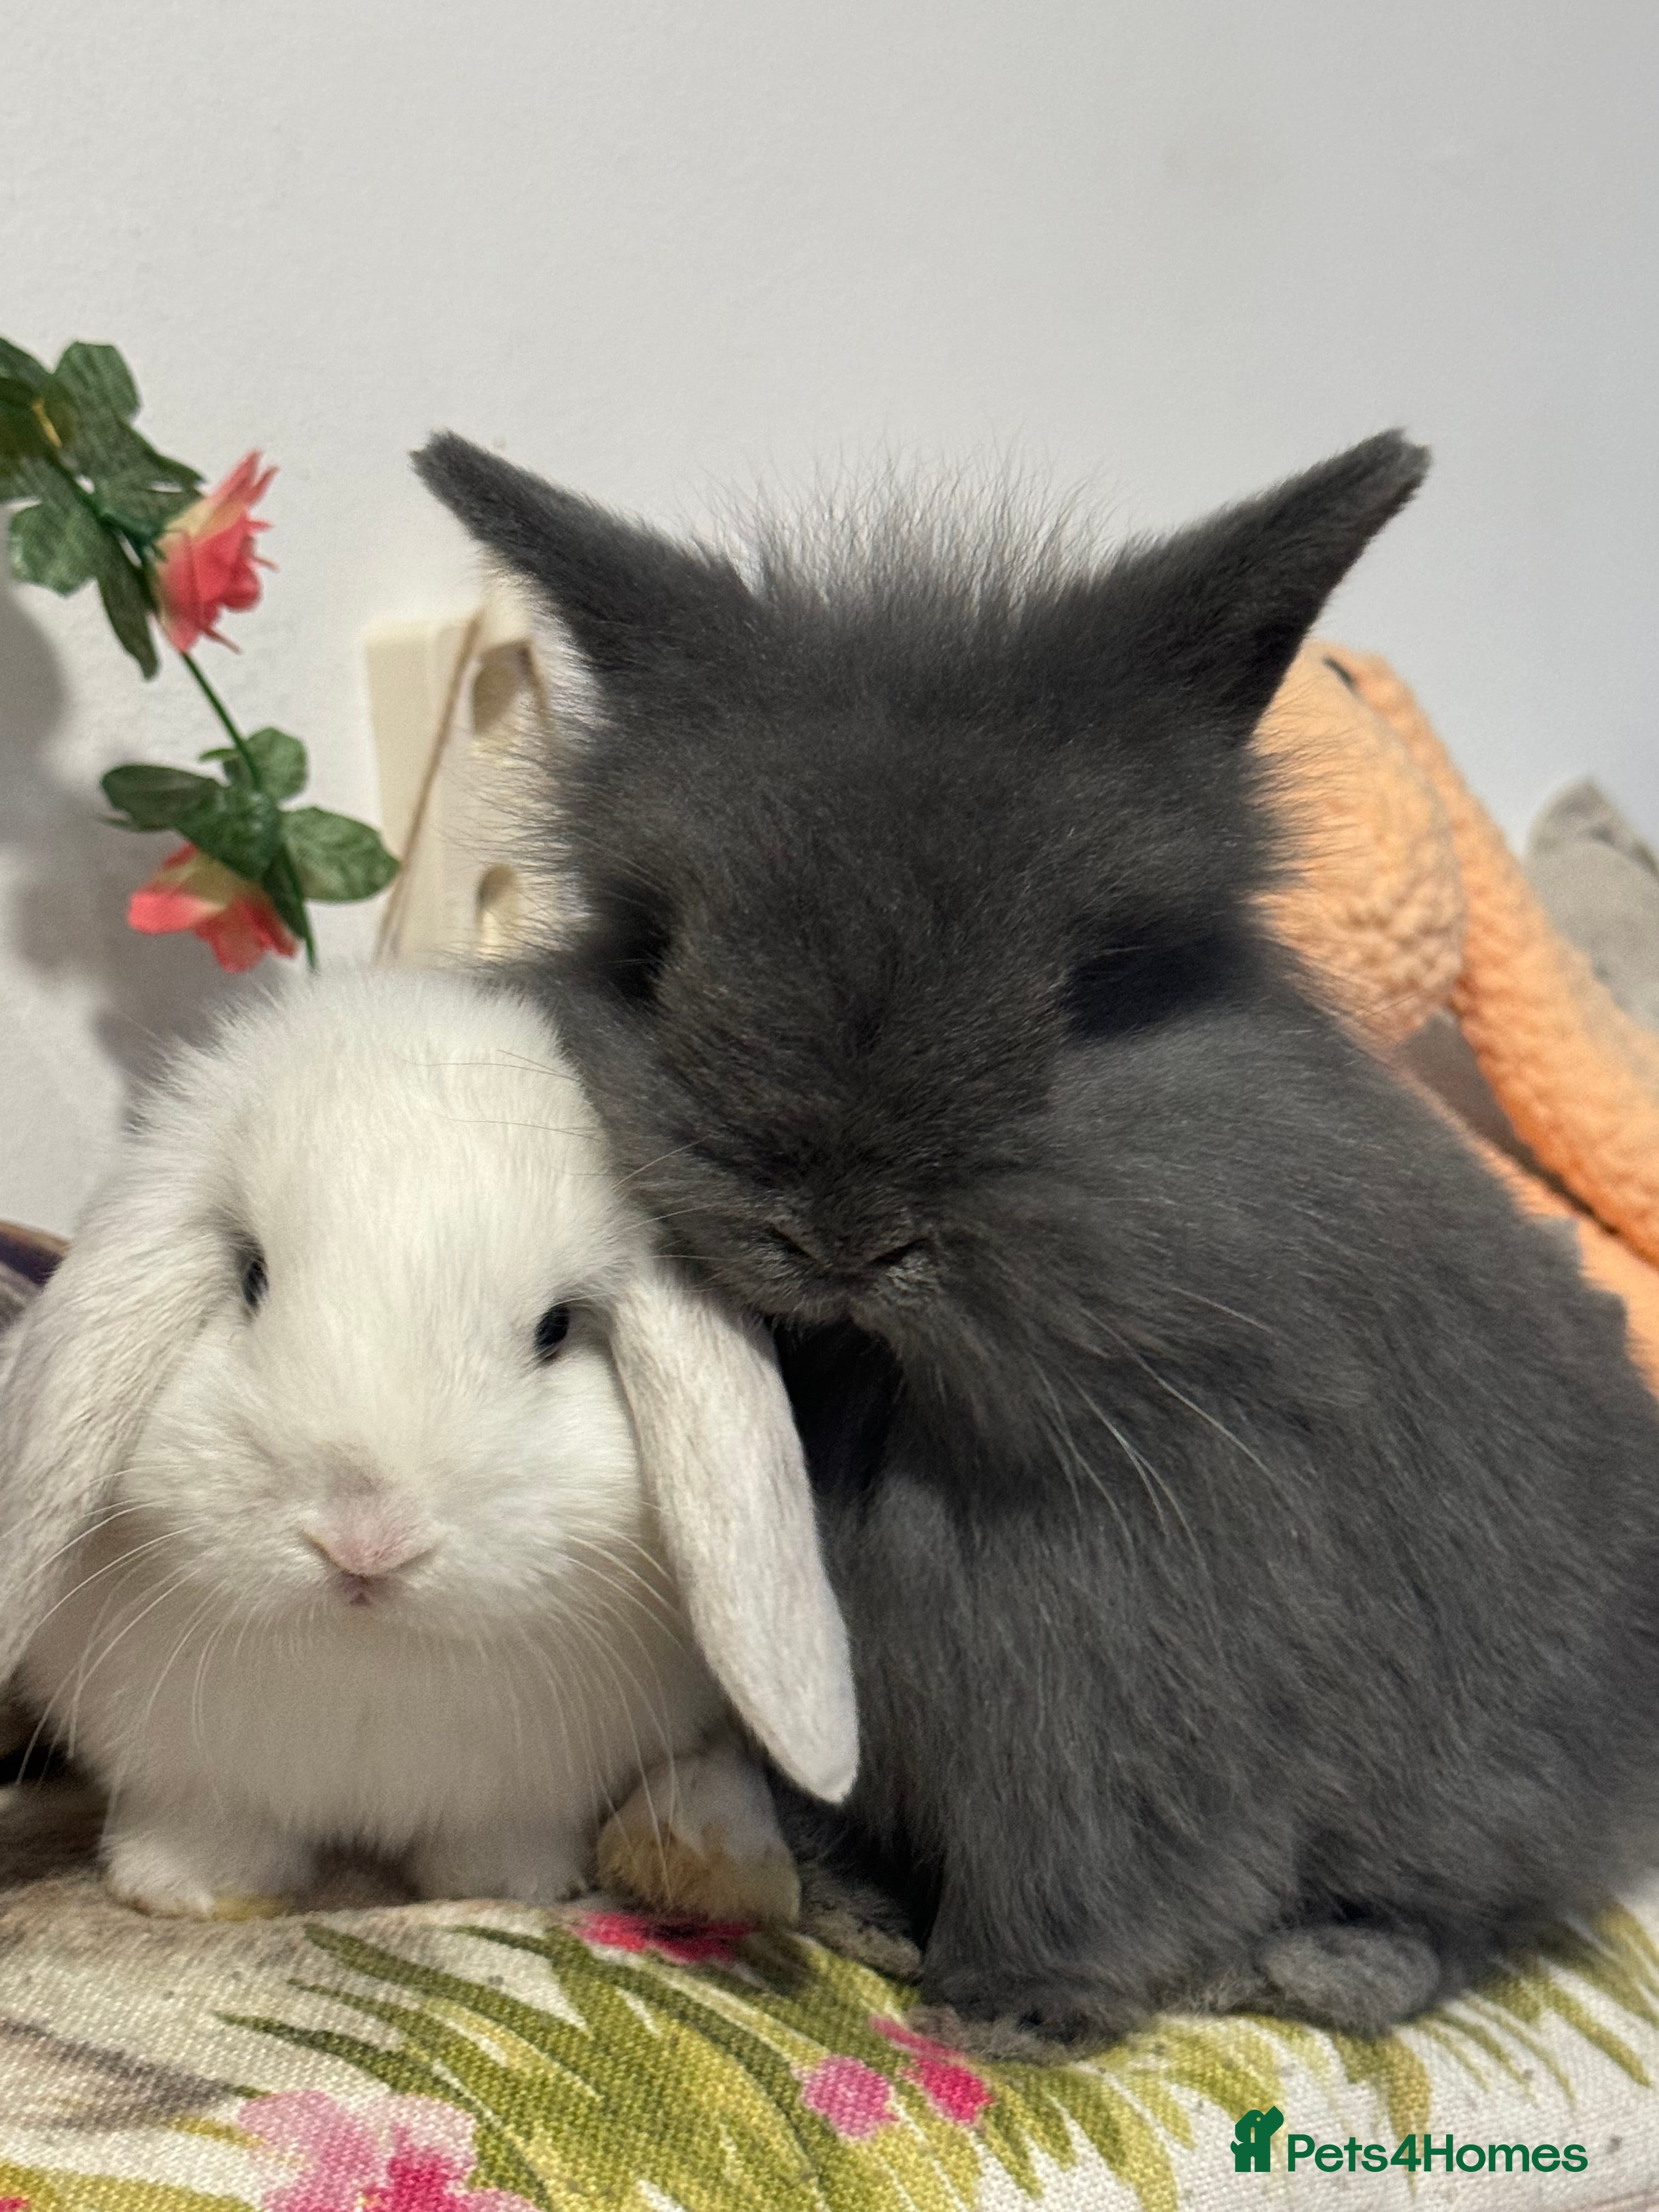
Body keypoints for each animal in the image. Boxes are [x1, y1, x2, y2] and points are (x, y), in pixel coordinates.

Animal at [0, 969, 854, 1920]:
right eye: (253, 1279)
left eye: (556, 1330)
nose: (365, 1543)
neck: (371, 1661)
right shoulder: (194, 1781)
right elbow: (208, 1828)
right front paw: (191, 1893)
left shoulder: (525, 1795)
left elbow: (503, 1844)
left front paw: (510, 1888)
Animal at [412, 427, 1659, 2047]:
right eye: (660, 955)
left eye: (1089, 991)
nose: (843, 1231)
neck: (884, 1408)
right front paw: (860, 1915)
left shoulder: (1122, 1695)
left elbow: (1087, 1865)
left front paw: (1006, 2015)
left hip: (1507, 1766)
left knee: (1484, 1906)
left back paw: (1319, 1965)